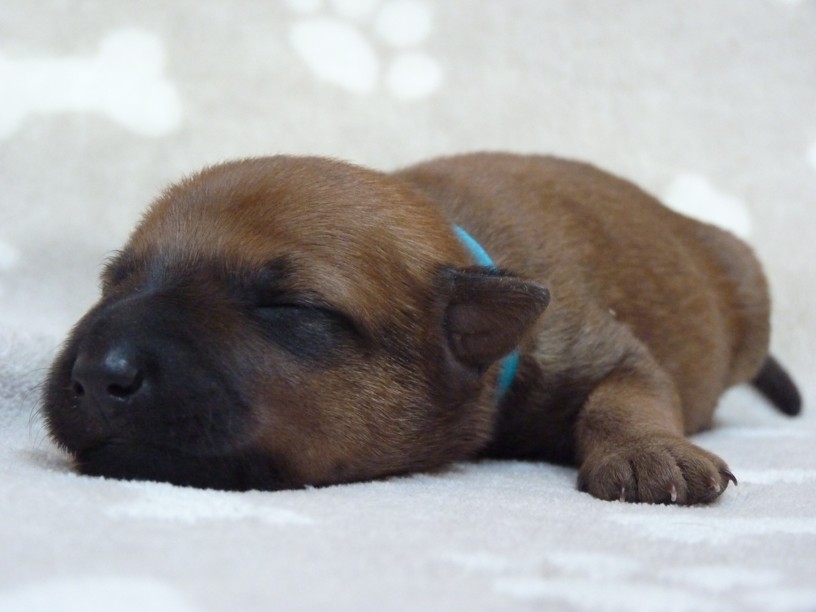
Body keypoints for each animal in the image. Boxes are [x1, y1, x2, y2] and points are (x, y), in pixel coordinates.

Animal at [42, 153, 802, 504]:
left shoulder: (604, 348)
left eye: (292, 308)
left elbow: (626, 396)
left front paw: (651, 453)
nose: (98, 373)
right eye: (115, 283)